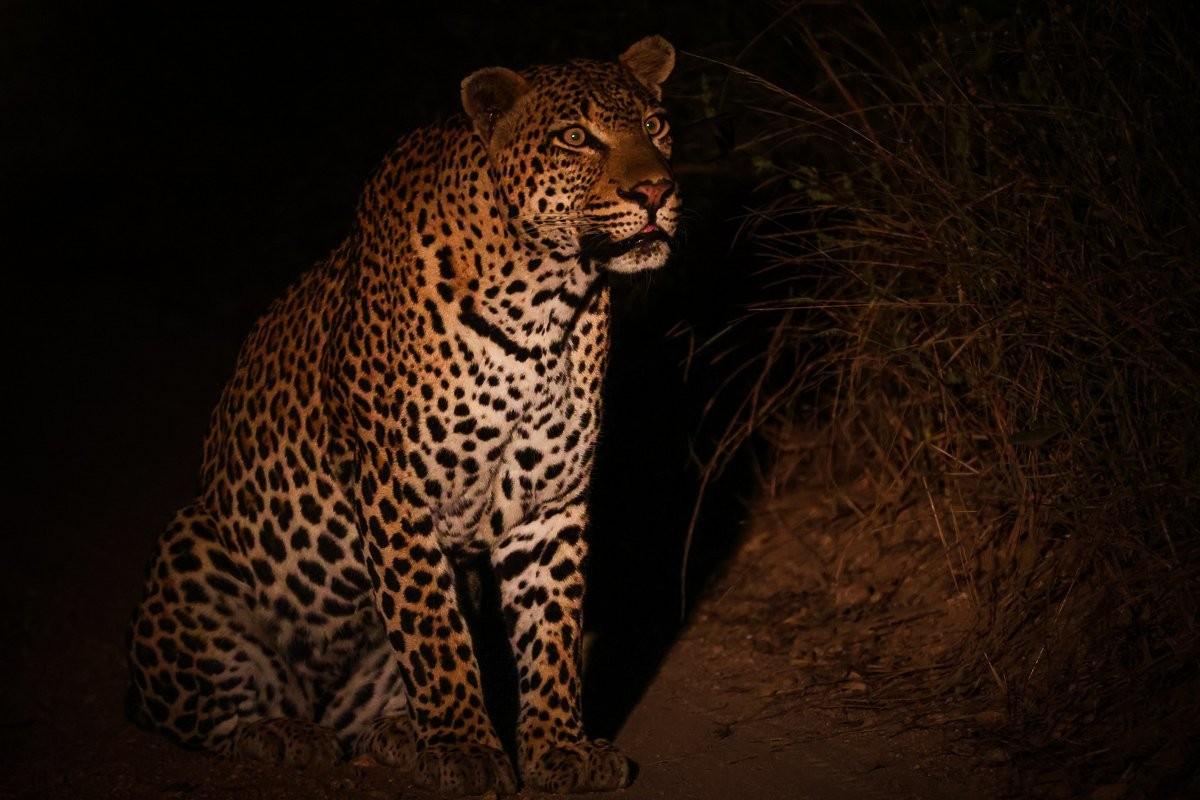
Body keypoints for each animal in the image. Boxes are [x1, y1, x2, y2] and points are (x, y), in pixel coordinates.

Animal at [126, 36, 680, 796]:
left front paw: (558, 749)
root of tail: (318, 699)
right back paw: (286, 735)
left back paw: (394, 737)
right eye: (576, 138)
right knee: (201, 717)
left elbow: (552, 636)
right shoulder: (397, 491)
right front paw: (467, 750)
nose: (656, 192)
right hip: (194, 548)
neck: (548, 298)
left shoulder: (552, 505)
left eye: (655, 126)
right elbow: (433, 631)